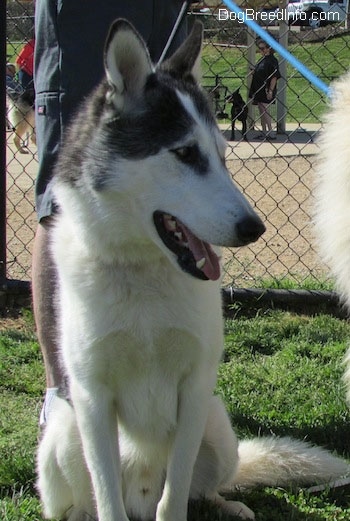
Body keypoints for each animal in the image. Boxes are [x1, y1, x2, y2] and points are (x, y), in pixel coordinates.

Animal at [37, 19, 350, 520]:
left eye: (222, 155)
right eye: (185, 154)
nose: (255, 228)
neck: (144, 271)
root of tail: (139, 496)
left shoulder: (196, 386)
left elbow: (175, 497)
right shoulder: (92, 397)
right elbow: (107, 500)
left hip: (217, 422)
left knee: (202, 491)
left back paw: (230, 505)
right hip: (64, 430)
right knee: (83, 504)